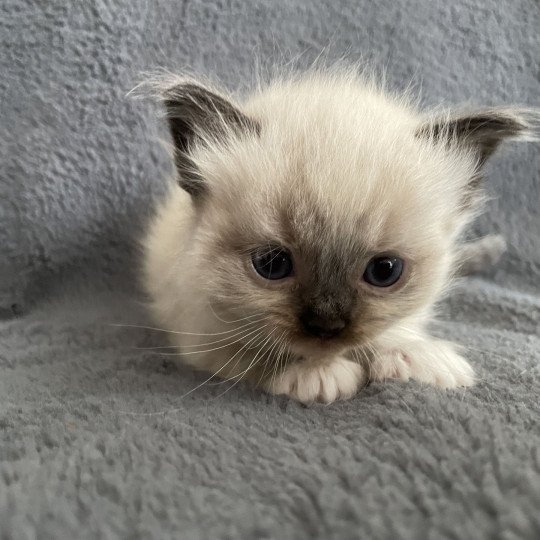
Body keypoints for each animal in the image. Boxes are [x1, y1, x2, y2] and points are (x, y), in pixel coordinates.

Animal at [141, 67, 532, 402]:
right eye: (272, 265)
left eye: (385, 271)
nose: (326, 325)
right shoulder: (199, 334)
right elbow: (255, 353)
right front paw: (318, 375)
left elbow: (395, 330)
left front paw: (419, 358)